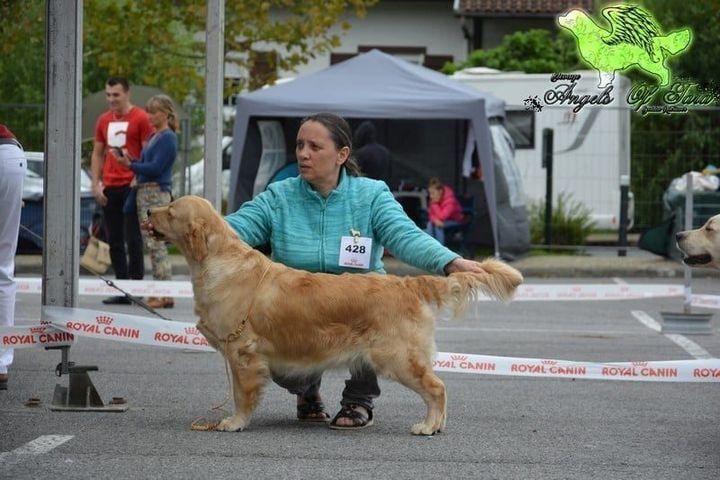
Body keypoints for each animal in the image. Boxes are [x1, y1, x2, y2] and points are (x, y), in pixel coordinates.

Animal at [148, 195, 524, 436]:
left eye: (171, 210)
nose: (148, 210)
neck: (217, 263)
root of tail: (406, 283)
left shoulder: (243, 354)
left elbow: (242, 394)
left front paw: (235, 422)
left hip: (397, 357)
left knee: (437, 387)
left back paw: (429, 426)